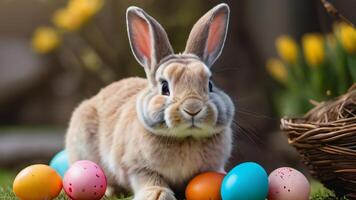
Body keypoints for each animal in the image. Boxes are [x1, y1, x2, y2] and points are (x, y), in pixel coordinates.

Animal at [65, 3, 235, 200]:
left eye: (210, 84)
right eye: (164, 87)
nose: (193, 108)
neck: (186, 137)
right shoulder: (136, 166)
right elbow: (149, 178)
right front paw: (158, 194)